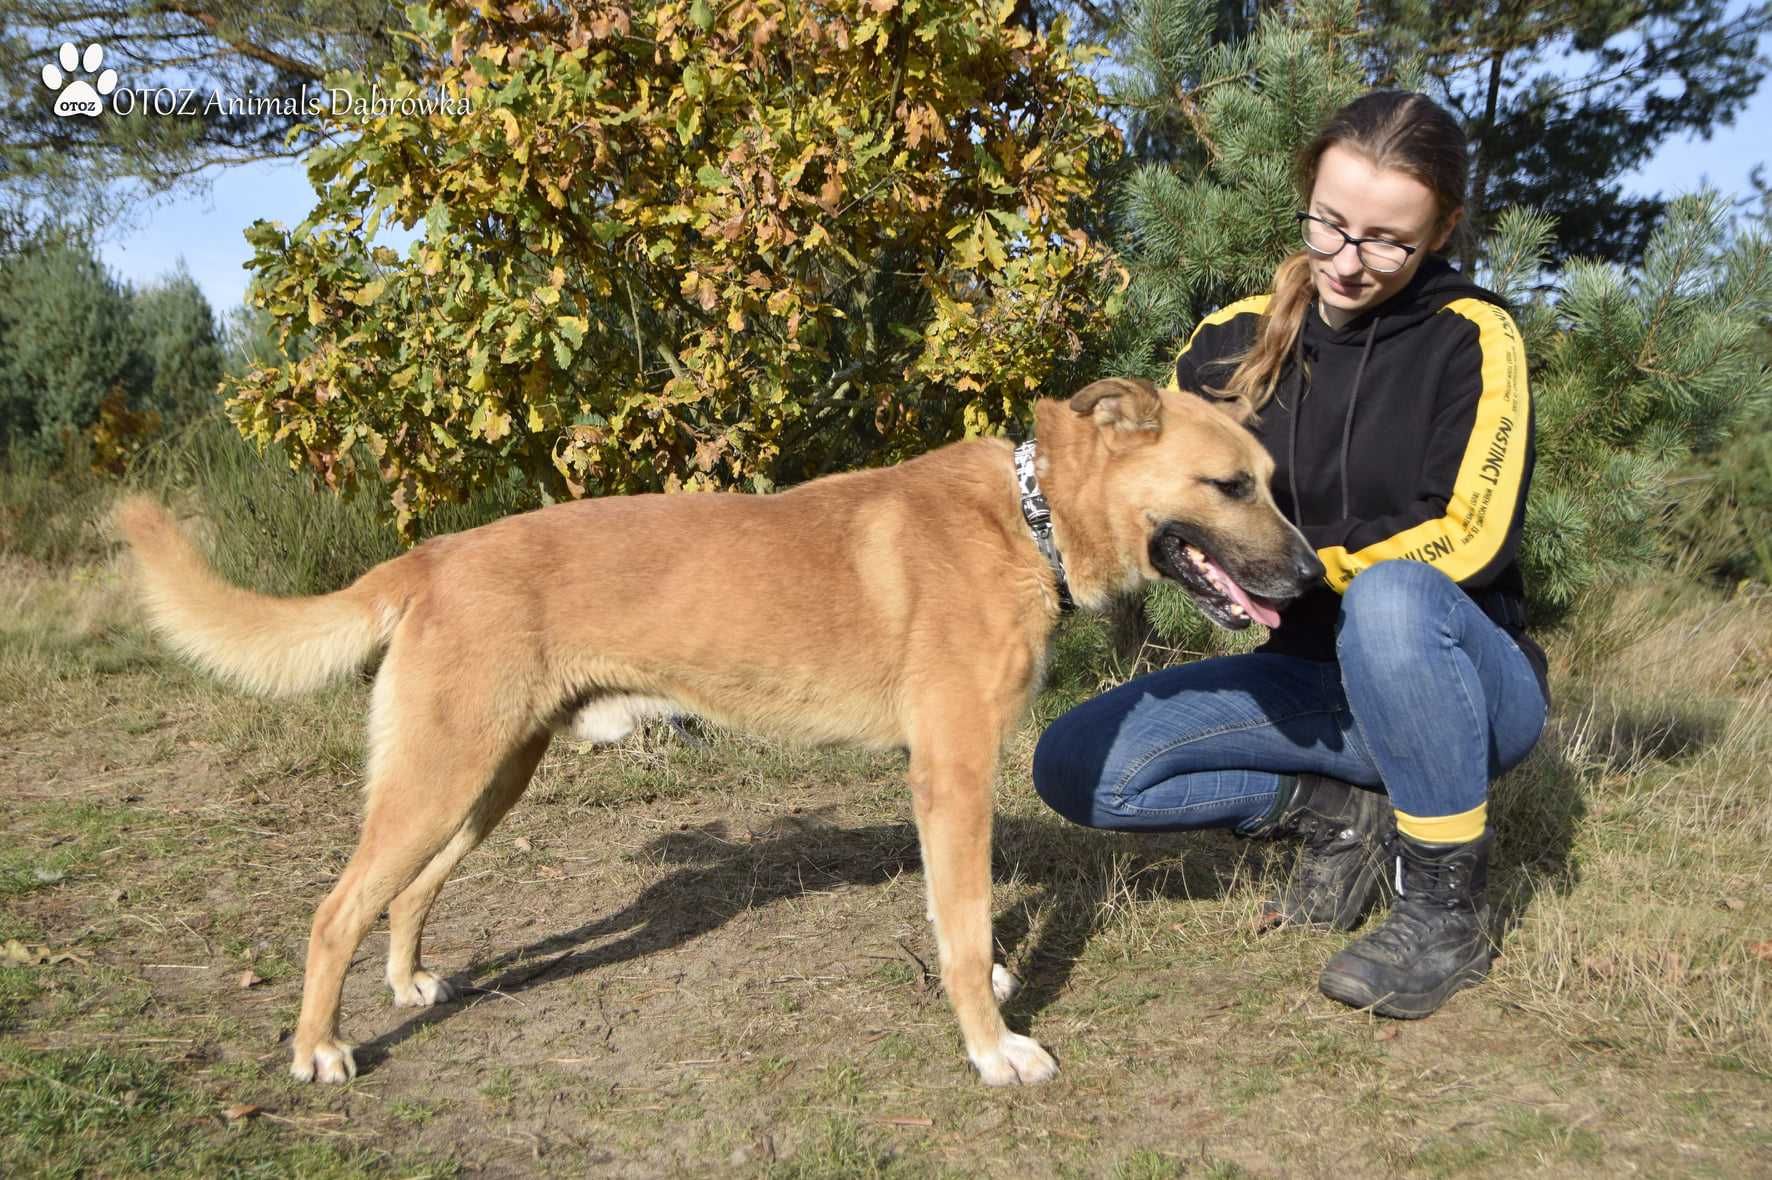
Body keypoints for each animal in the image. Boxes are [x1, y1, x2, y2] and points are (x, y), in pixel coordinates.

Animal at [117, 377, 1325, 1084]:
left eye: (1275, 482)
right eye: (1229, 485)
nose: (1317, 580)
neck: (1026, 521)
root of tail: (434, 554)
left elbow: (972, 933)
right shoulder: (952, 777)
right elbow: (962, 930)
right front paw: (992, 1048)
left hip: (484, 779)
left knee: (404, 896)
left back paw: (411, 983)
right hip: (441, 775)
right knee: (334, 912)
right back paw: (318, 1049)